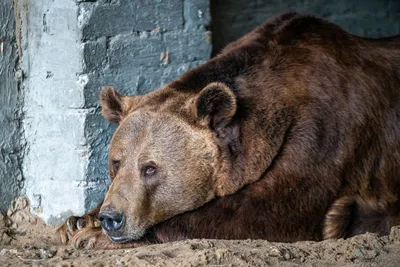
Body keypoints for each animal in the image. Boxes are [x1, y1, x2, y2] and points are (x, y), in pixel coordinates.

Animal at [57, 12, 400, 250]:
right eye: (116, 163)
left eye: (150, 168)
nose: (112, 218)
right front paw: (76, 222)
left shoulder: (321, 136)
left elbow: (267, 211)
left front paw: (91, 235)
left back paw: (343, 217)